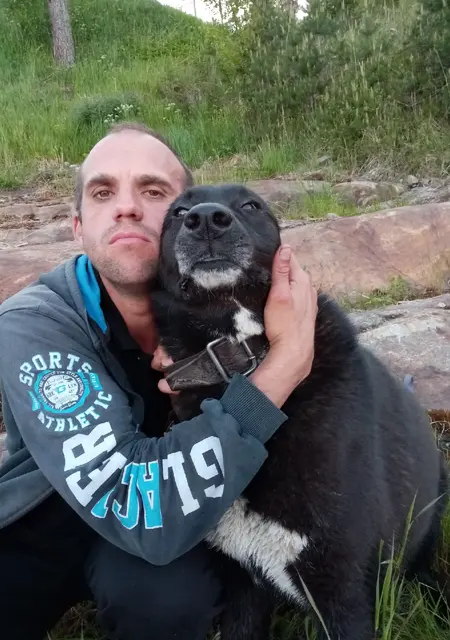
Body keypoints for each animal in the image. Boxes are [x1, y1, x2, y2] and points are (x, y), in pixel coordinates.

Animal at [151, 184, 449, 639]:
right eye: (178, 212)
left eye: (251, 205)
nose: (205, 220)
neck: (241, 361)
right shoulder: (243, 588)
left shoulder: (344, 595)